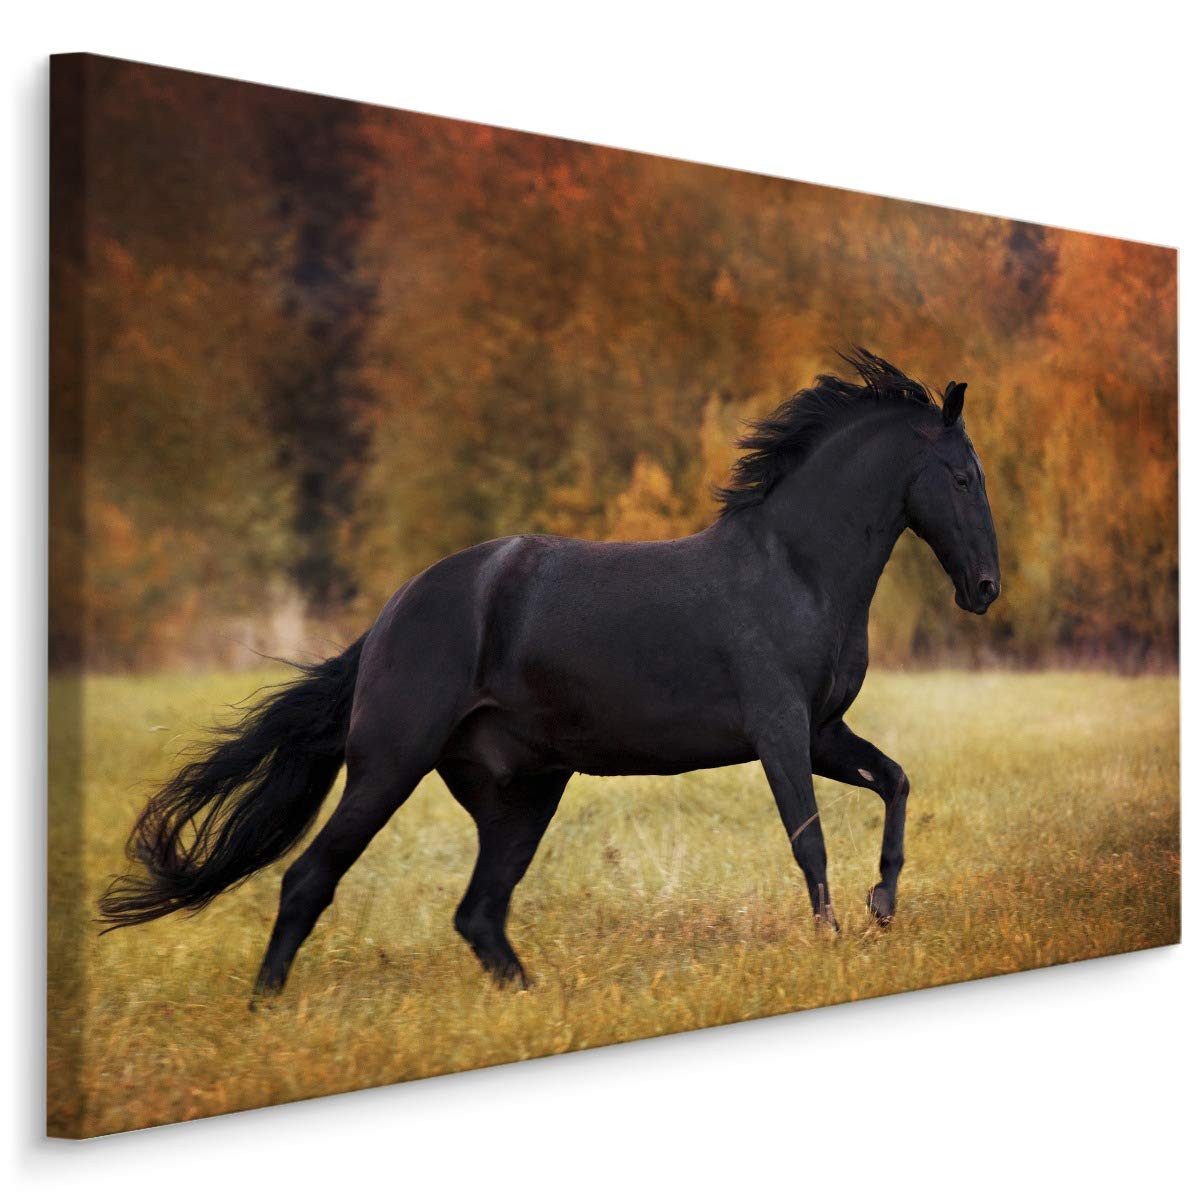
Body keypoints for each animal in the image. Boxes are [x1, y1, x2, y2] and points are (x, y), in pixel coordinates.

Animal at [99, 348, 1001, 998]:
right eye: (961, 477)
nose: (986, 588)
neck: (796, 571)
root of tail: (391, 619)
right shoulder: (780, 729)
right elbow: (808, 839)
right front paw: (831, 943)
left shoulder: (822, 730)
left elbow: (895, 781)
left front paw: (883, 908)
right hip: (388, 767)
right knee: (308, 880)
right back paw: (268, 1007)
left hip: (521, 793)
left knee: (478, 913)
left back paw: (534, 1002)